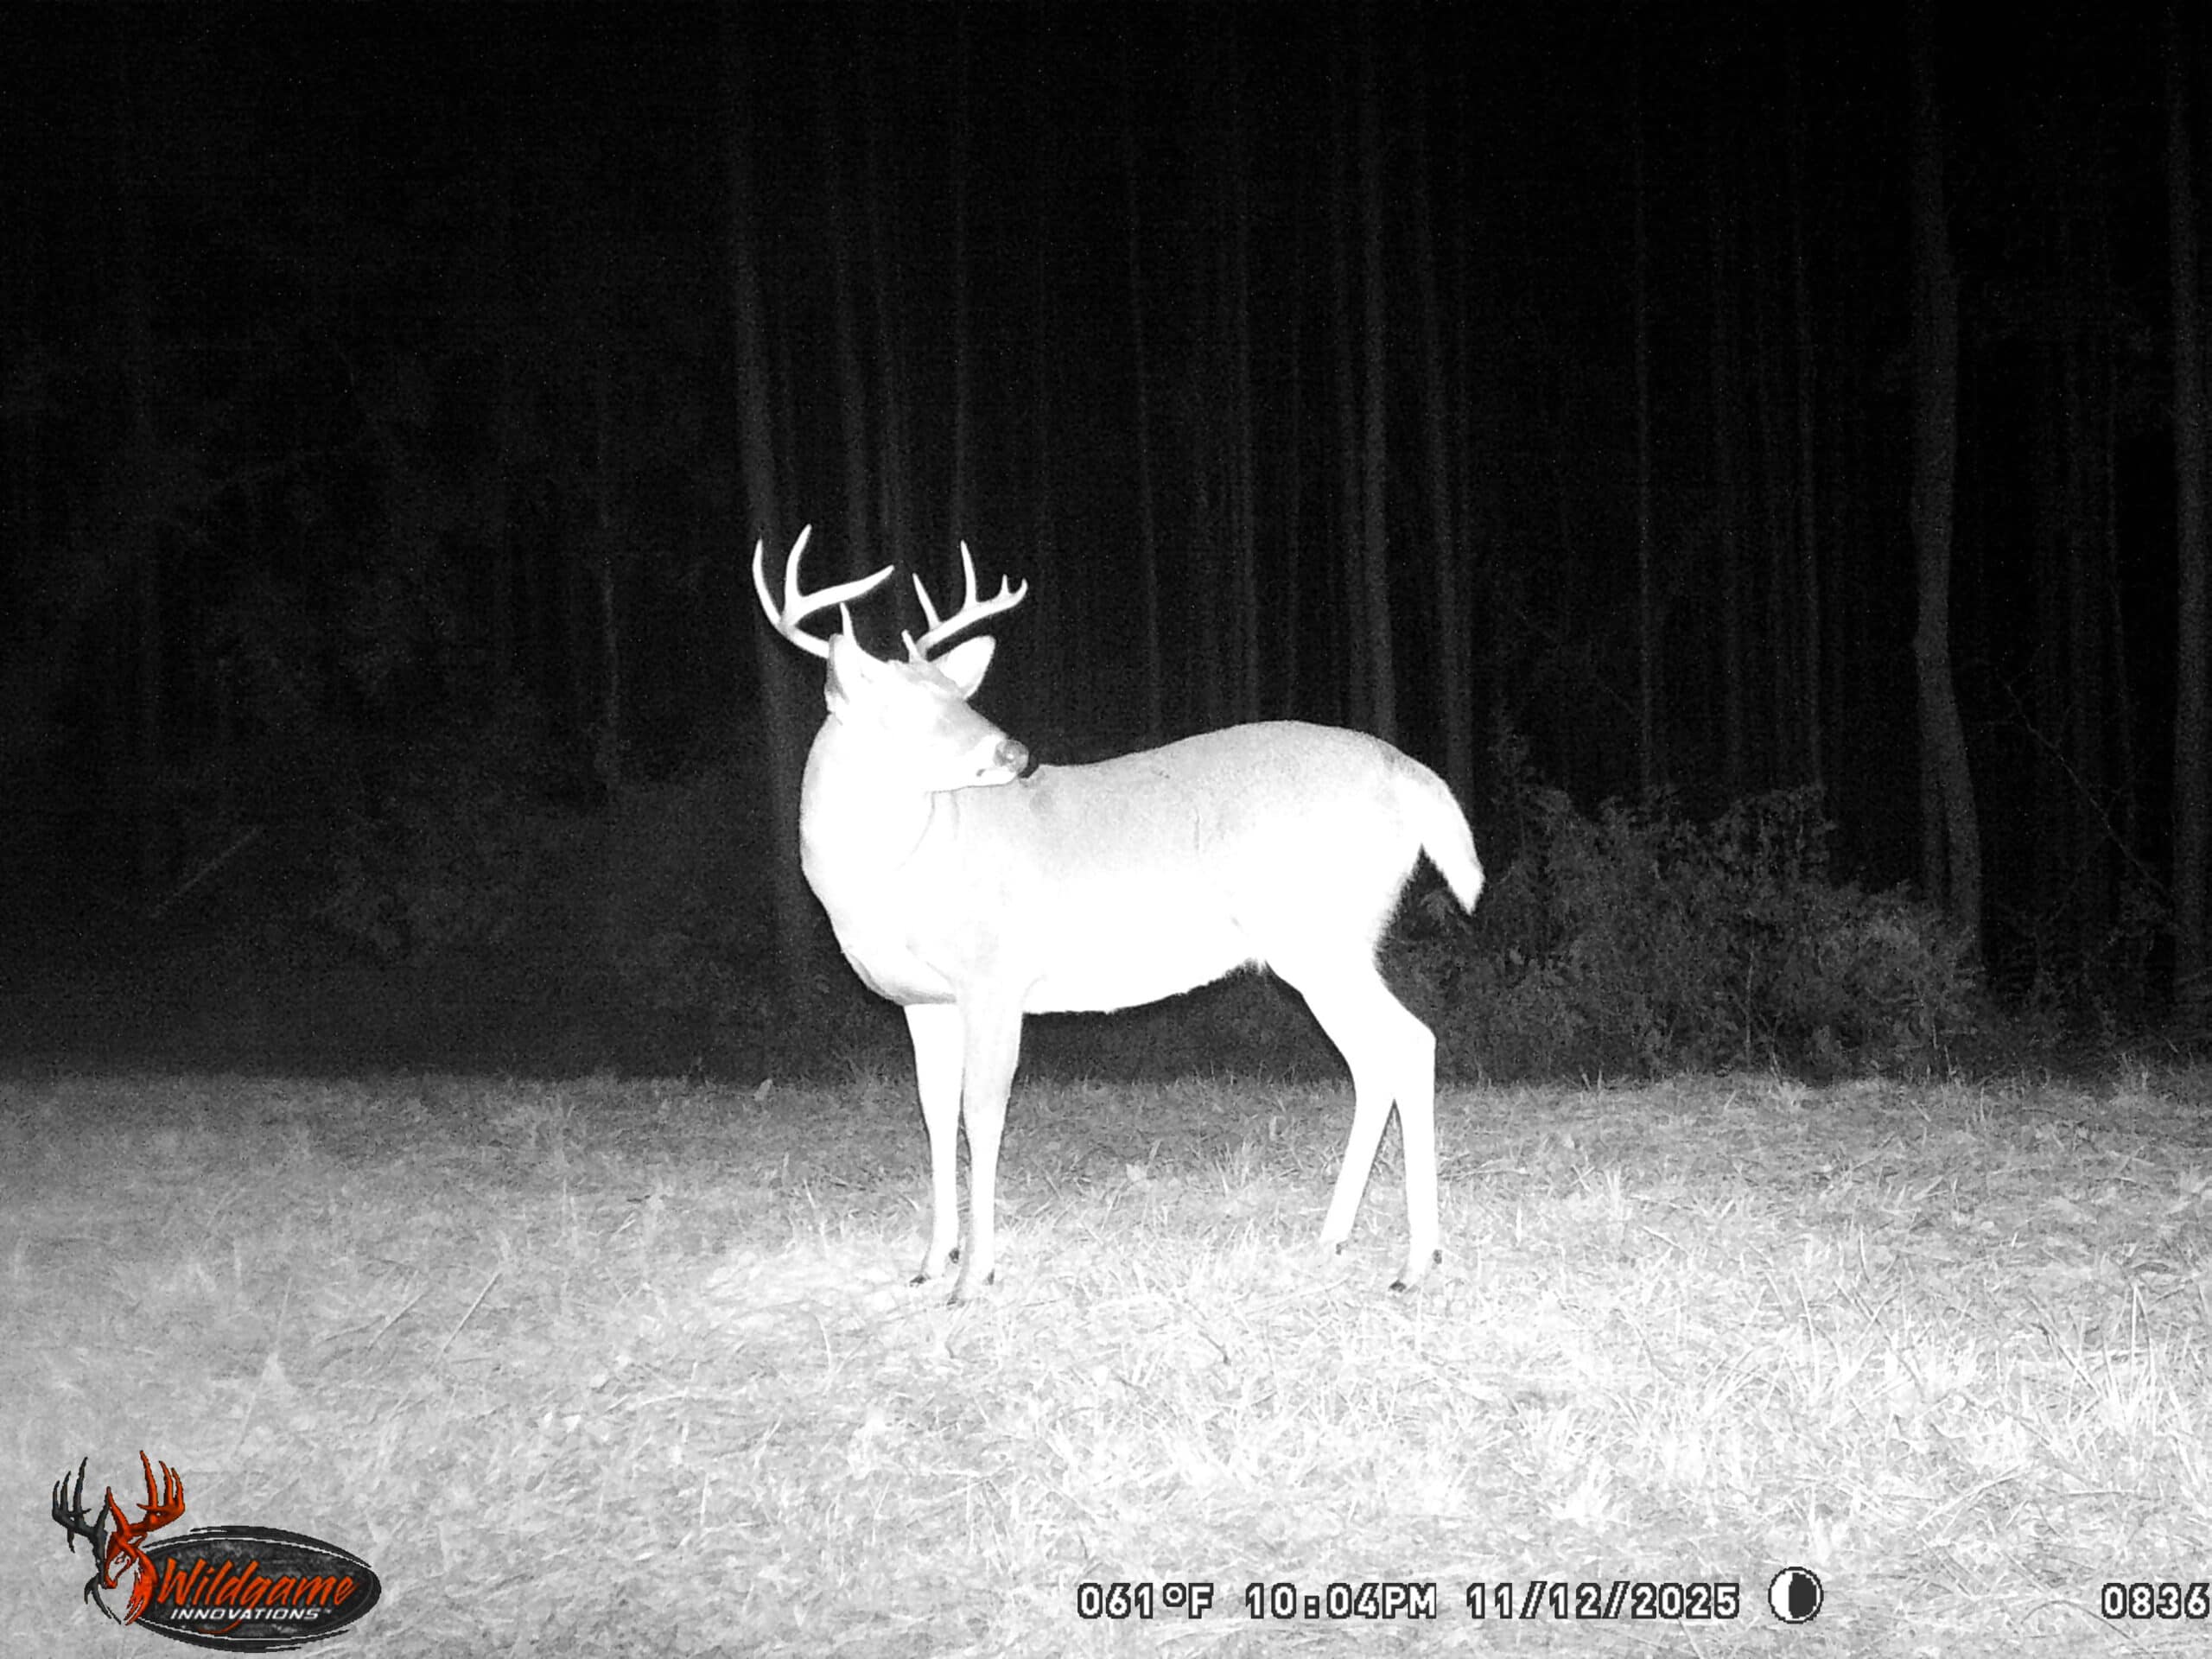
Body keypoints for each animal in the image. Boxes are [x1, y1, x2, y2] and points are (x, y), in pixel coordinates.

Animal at [753, 527, 1483, 1301]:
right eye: (909, 707)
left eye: (959, 695)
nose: (1014, 751)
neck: (891, 877)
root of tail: (1407, 773)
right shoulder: (922, 1000)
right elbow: (934, 1113)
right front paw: (930, 1261)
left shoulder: (995, 975)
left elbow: (983, 1114)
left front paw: (975, 1275)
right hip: (1329, 944)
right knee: (1373, 1062)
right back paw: (1334, 1236)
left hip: (1319, 934)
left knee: (1409, 1044)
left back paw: (1416, 1261)